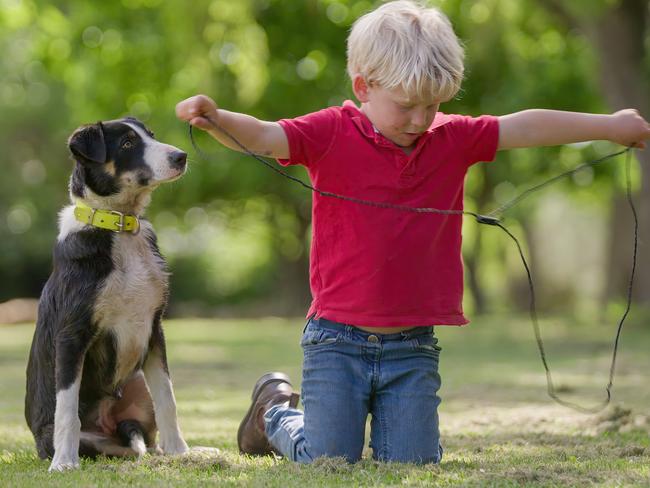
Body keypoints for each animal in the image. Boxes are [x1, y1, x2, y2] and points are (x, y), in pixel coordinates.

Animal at [28, 116, 190, 470]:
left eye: (151, 136)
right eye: (128, 143)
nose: (181, 156)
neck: (119, 225)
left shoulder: (154, 327)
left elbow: (168, 397)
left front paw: (181, 451)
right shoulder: (71, 335)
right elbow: (67, 410)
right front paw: (63, 462)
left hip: (137, 382)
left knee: (141, 439)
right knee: (114, 446)